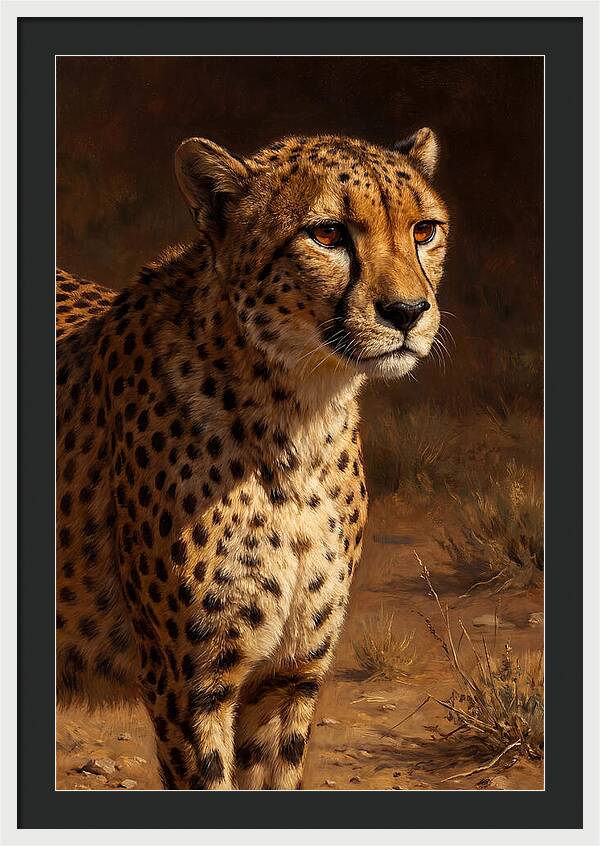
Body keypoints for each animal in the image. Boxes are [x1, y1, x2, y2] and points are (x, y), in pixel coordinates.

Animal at [56, 127, 449, 790]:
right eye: (328, 234)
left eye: (423, 230)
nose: (407, 312)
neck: (298, 422)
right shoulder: (189, 685)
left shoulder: (289, 677)